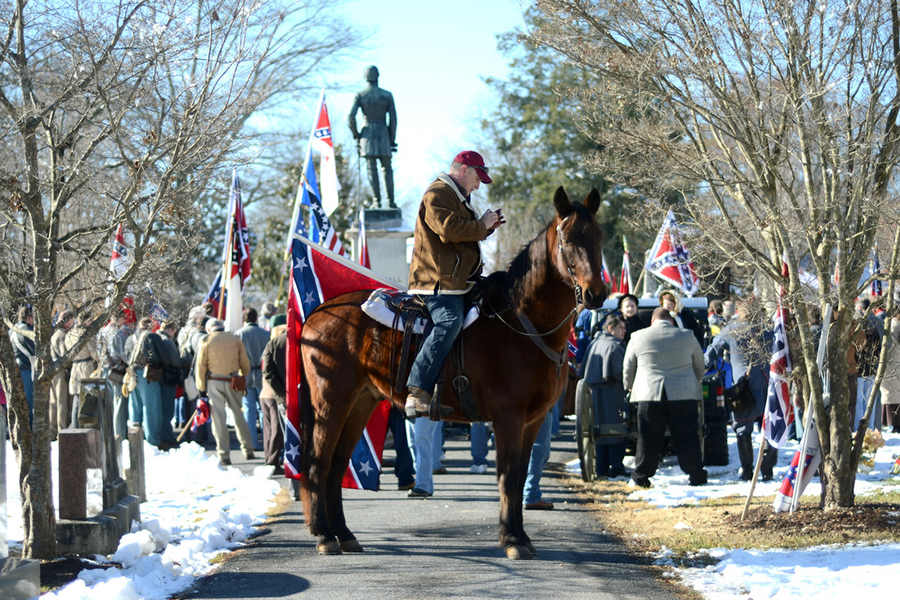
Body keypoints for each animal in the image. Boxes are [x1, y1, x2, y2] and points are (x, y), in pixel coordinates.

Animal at [300, 186, 604, 556]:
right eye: (569, 240)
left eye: (598, 237)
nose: (596, 293)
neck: (524, 323)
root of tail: (319, 312)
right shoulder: (508, 417)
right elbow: (507, 477)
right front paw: (512, 540)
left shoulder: (531, 420)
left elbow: (518, 477)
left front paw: (521, 537)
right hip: (331, 401)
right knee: (319, 462)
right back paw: (324, 535)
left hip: (360, 403)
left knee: (337, 465)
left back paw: (344, 534)